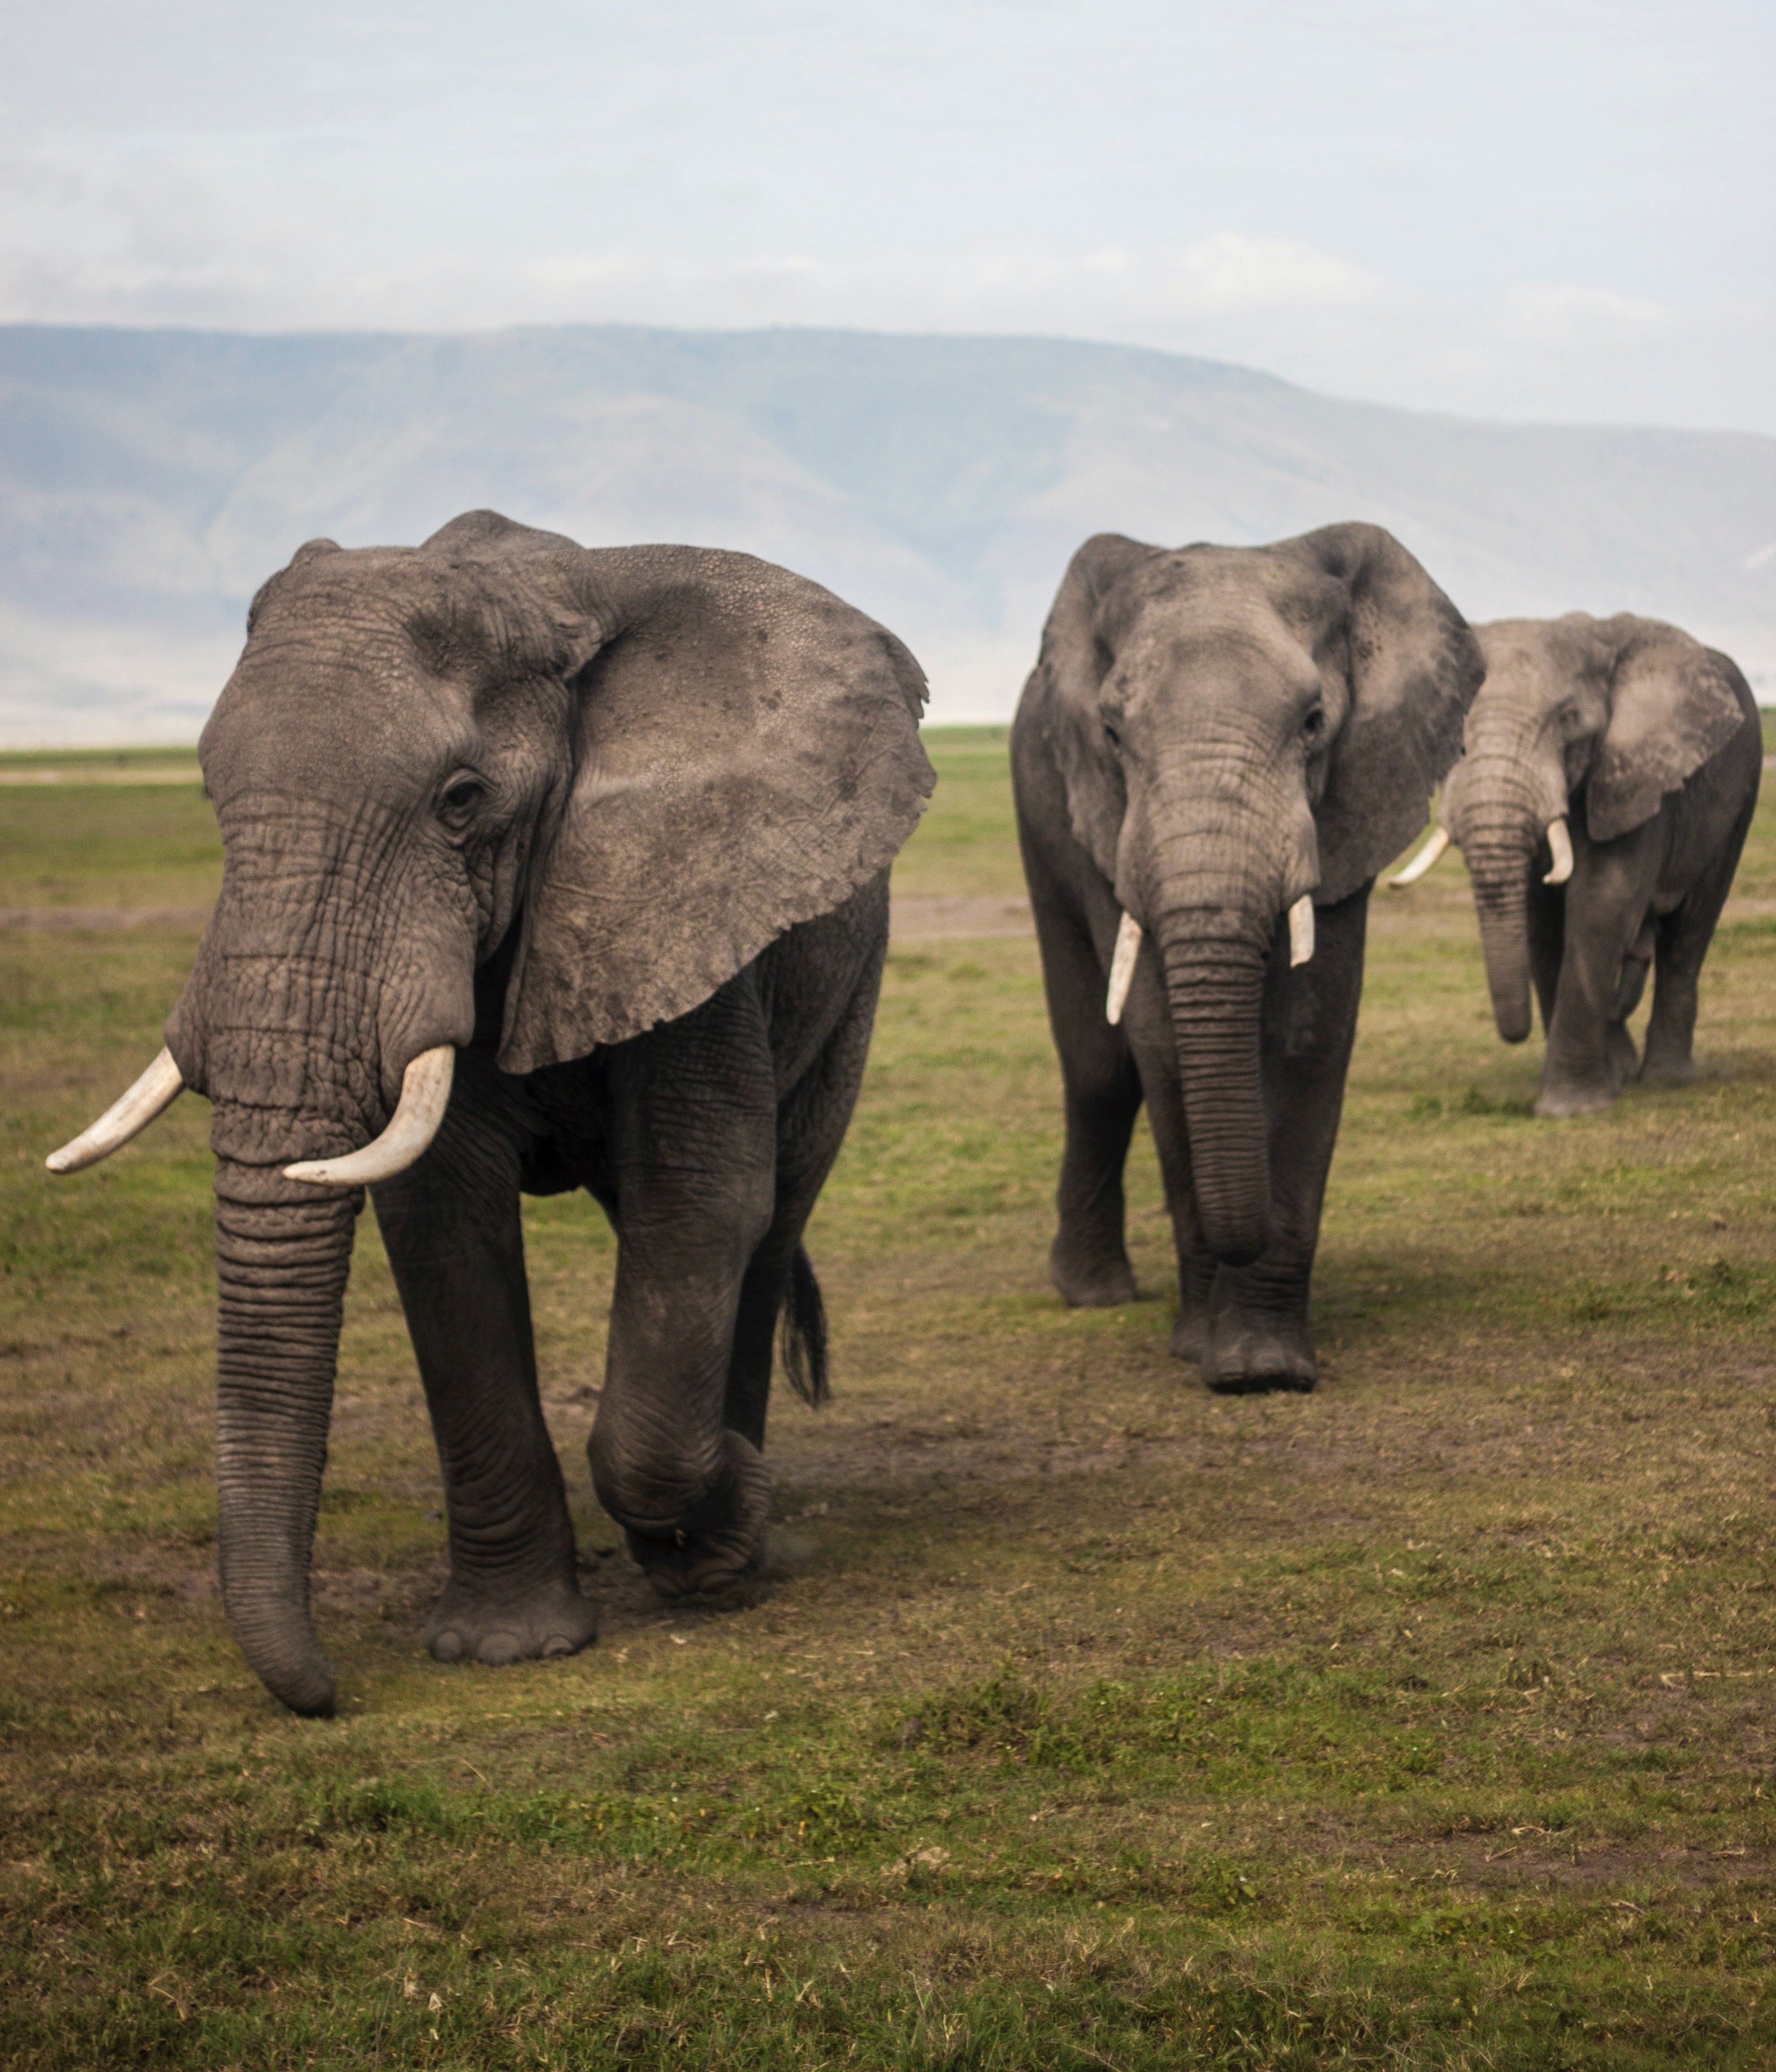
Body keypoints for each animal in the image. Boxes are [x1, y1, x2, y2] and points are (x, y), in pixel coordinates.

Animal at [46, 510, 934, 1718]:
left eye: (461, 801)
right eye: (207, 793)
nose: (326, 1694)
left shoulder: (684, 894)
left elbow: (701, 1198)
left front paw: (717, 1527)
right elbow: (441, 1221)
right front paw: (505, 1648)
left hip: (851, 981)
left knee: (771, 1214)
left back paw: (730, 1546)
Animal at [1012, 523, 1484, 1391]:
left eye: (1313, 722)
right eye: (1111, 735)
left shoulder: (1349, 801)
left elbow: (1309, 1032)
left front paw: (1263, 1367)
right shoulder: (1104, 814)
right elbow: (1160, 1041)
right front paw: (1207, 1352)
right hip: (1039, 809)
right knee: (1099, 1068)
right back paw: (1092, 1294)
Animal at [1389, 613, 1761, 1117]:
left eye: (1568, 721)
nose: (1516, 1032)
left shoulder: (1636, 776)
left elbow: (1603, 902)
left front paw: (1570, 1109)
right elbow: (1542, 922)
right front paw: (1600, 1086)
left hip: (1741, 799)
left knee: (1691, 931)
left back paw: (1667, 1078)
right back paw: (1624, 1070)